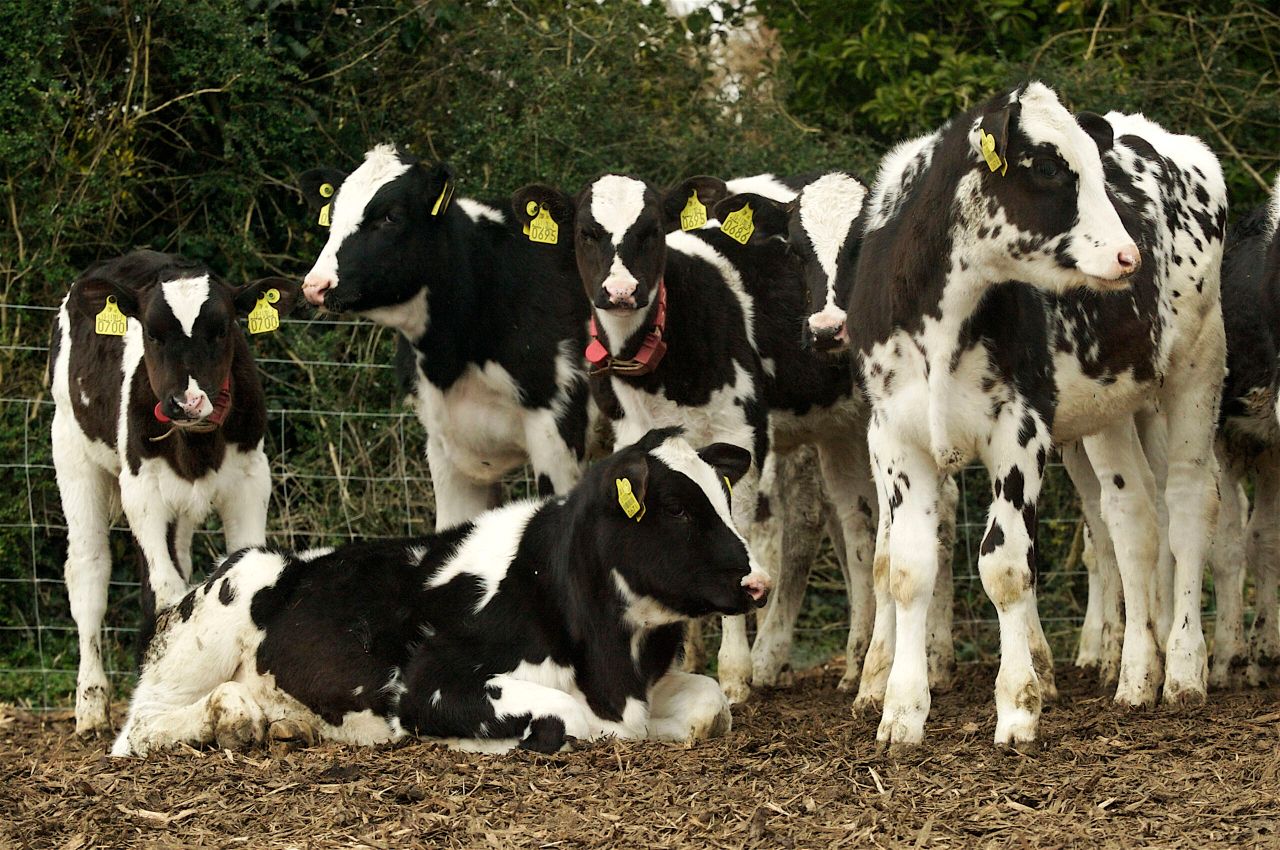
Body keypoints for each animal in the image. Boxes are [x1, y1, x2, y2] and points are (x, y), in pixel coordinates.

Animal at [49, 250, 298, 734]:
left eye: (222, 328)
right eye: (151, 332)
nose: (187, 402)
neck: (197, 443)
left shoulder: (251, 478)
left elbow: (241, 564)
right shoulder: (142, 490)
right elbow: (162, 588)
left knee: (178, 559)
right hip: (71, 449)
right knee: (89, 570)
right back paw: (91, 708)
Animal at [110, 428, 769, 757]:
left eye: (724, 494)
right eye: (678, 508)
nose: (758, 581)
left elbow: (710, 702)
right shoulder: (424, 682)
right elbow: (564, 719)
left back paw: (288, 725)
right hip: (215, 617)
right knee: (140, 727)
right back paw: (232, 718)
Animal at [743, 83, 1227, 748]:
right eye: (1047, 166)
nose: (1129, 254)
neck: (942, 318)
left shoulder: (1018, 433)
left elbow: (1005, 566)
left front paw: (1019, 706)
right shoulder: (893, 437)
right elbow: (904, 567)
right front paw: (899, 709)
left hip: (1195, 371)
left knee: (1186, 506)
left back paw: (1182, 668)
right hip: (1109, 411)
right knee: (1132, 521)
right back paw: (1134, 674)